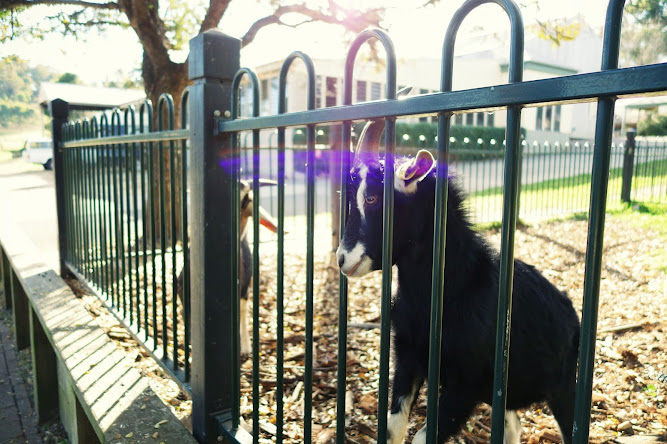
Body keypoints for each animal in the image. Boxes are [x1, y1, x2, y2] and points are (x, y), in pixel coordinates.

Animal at [336, 119, 580, 444]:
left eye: (372, 198)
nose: (342, 259)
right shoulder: (408, 358)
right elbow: (392, 429)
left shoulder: (466, 383)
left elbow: (422, 437)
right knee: (514, 425)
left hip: (561, 386)